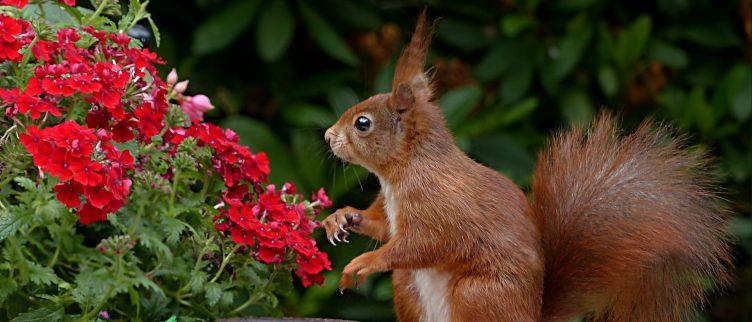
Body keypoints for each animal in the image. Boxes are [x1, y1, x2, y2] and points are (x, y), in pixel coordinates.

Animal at [320, 11, 732, 320]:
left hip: (478, 294)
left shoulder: (440, 205)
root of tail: (531, 316)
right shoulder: (392, 211)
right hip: (408, 288)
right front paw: (341, 218)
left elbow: (424, 243)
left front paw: (365, 262)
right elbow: (382, 226)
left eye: (362, 123)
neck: (403, 171)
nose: (327, 136)